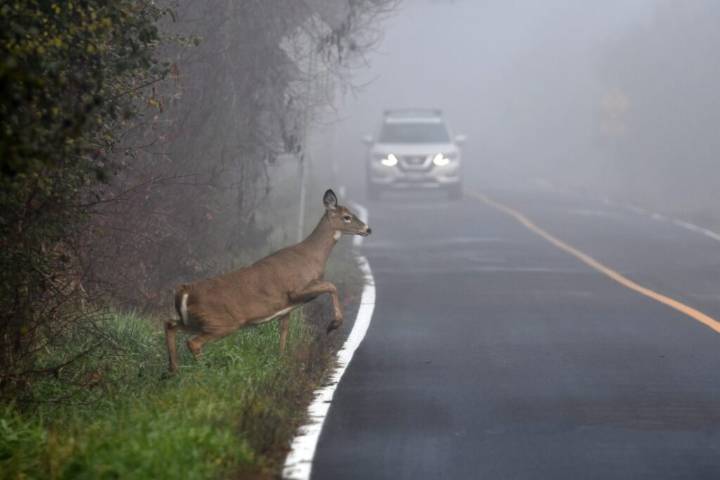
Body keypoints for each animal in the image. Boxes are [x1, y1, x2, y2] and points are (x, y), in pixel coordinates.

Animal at [164, 189, 371, 373]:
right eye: (347, 217)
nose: (368, 229)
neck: (312, 257)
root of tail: (185, 291)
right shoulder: (295, 289)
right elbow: (331, 285)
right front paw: (333, 324)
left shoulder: (287, 308)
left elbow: (284, 332)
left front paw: (281, 361)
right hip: (221, 322)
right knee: (193, 342)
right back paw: (203, 372)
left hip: (195, 321)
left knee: (170, 325)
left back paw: (174, 371)